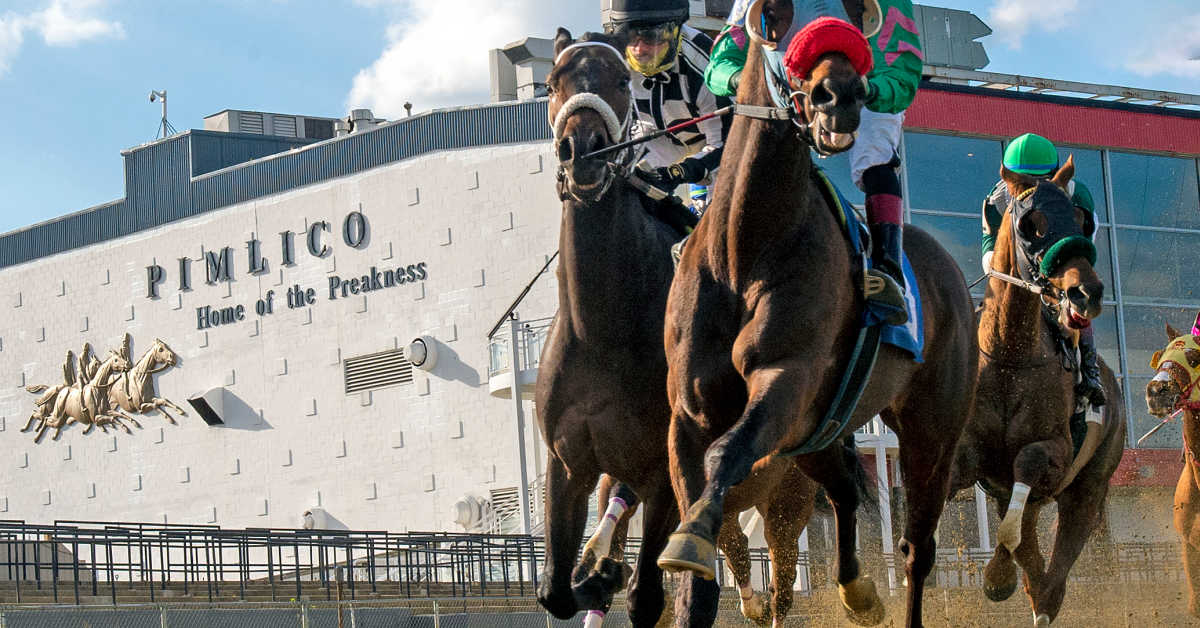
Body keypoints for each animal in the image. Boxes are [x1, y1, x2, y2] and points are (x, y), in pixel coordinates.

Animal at [542, 27, 825, 624]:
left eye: (618, 80)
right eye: (553, 83)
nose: (582, 153)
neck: (603, 331)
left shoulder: (664, 479)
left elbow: (648, 595)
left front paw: (607, 576)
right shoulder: (568, 465)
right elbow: (555, 588)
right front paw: (594, 575)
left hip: (788, 500)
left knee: (778, 584)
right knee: (732, 554)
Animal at [652, 2, 979, 624]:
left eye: (857, 14)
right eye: (773, 17)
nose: (840, 93)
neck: (745, 247)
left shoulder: (786, 375)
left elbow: (726, 455)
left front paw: (695, 537)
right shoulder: (690, 410)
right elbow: (703, 542)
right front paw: (701, 557)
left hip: (932, 427)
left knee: (917, 547)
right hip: (817, 430)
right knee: (846, 491)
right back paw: (856, 590)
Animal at [945, 159, 1123, 624]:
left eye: (1080, 217)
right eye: (1031, 224)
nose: (1086, 292)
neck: (1010, 356)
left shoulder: (1054, 453)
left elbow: (1027, 468)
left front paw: (995, 577)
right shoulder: (969, 456)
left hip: (1088, 488)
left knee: (1051, 585)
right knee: (1036, 567)